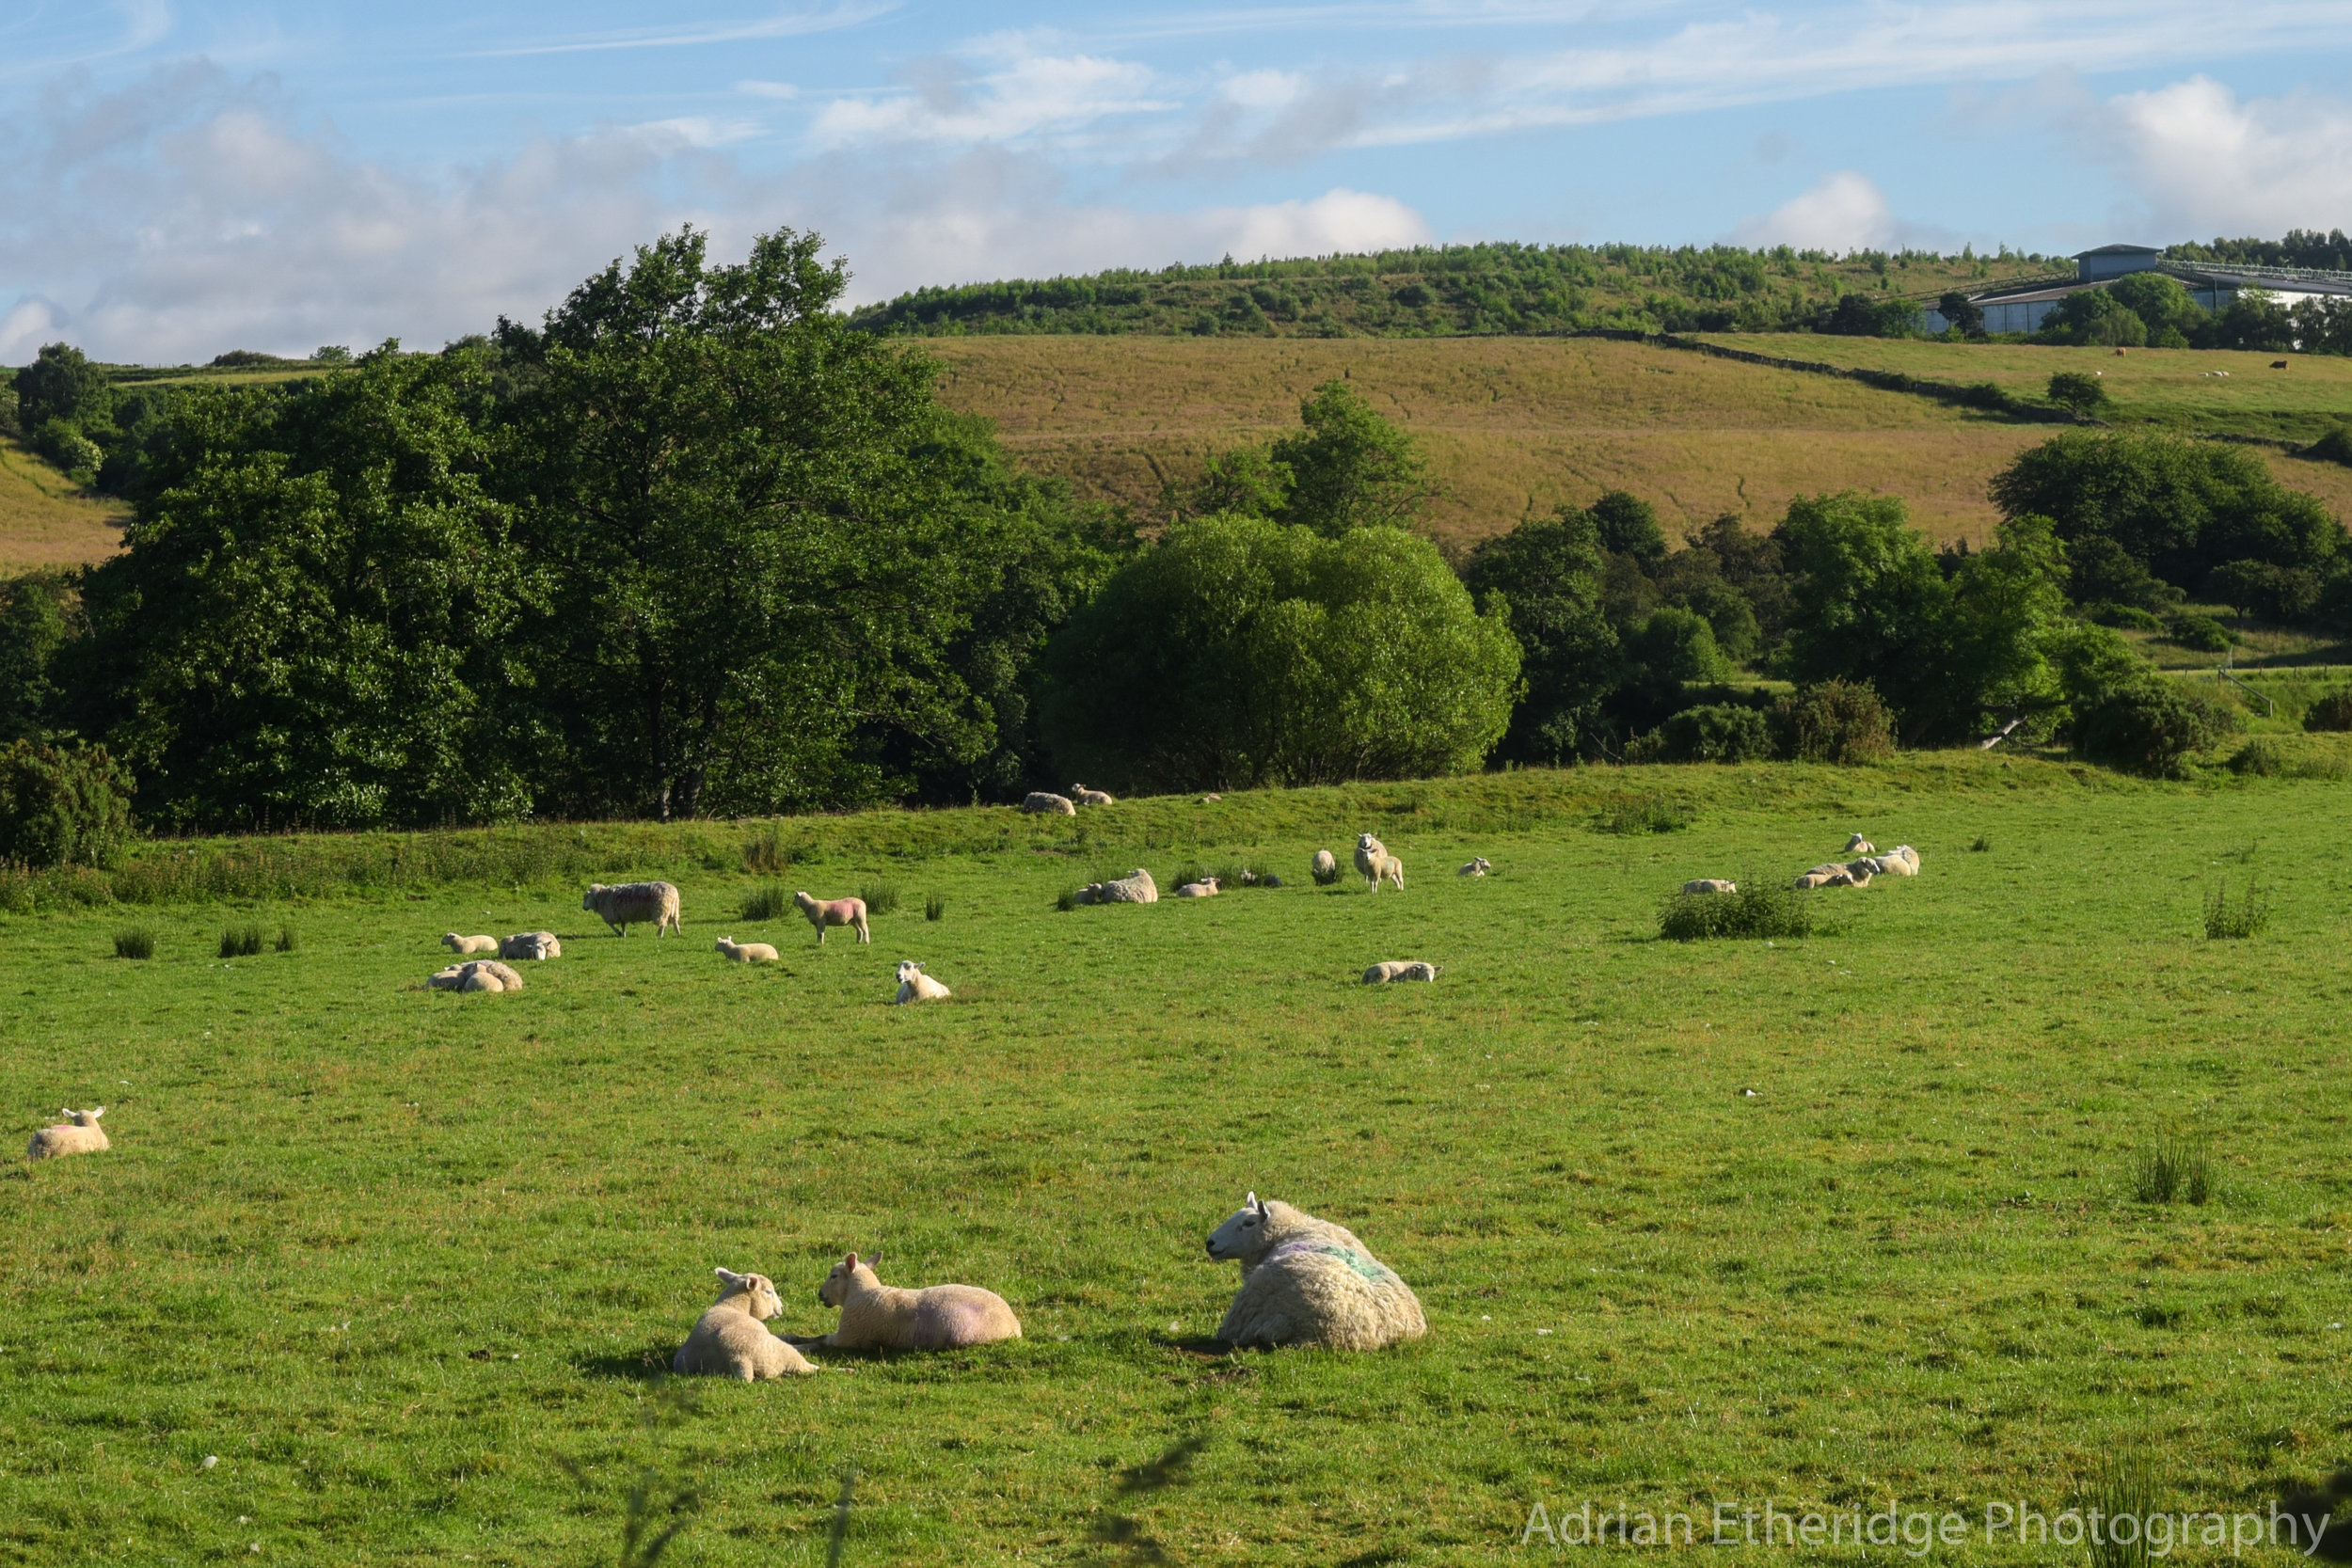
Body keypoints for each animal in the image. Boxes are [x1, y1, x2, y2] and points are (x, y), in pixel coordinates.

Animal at [673, 1269, 818, 1382]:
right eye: (768, 1291)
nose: (781, 1308)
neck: (733, 1305)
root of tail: (738, 1358)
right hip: (778, 1352)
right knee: (800, 1363)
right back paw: (816, 1363)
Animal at [800, 1250, 1021, 1354]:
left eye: (834, 1276)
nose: (820, 1294)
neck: (863, 1294)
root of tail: (1014, 1325)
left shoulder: (849, 1337)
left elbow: (820, 1339)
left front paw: (800, 1345)